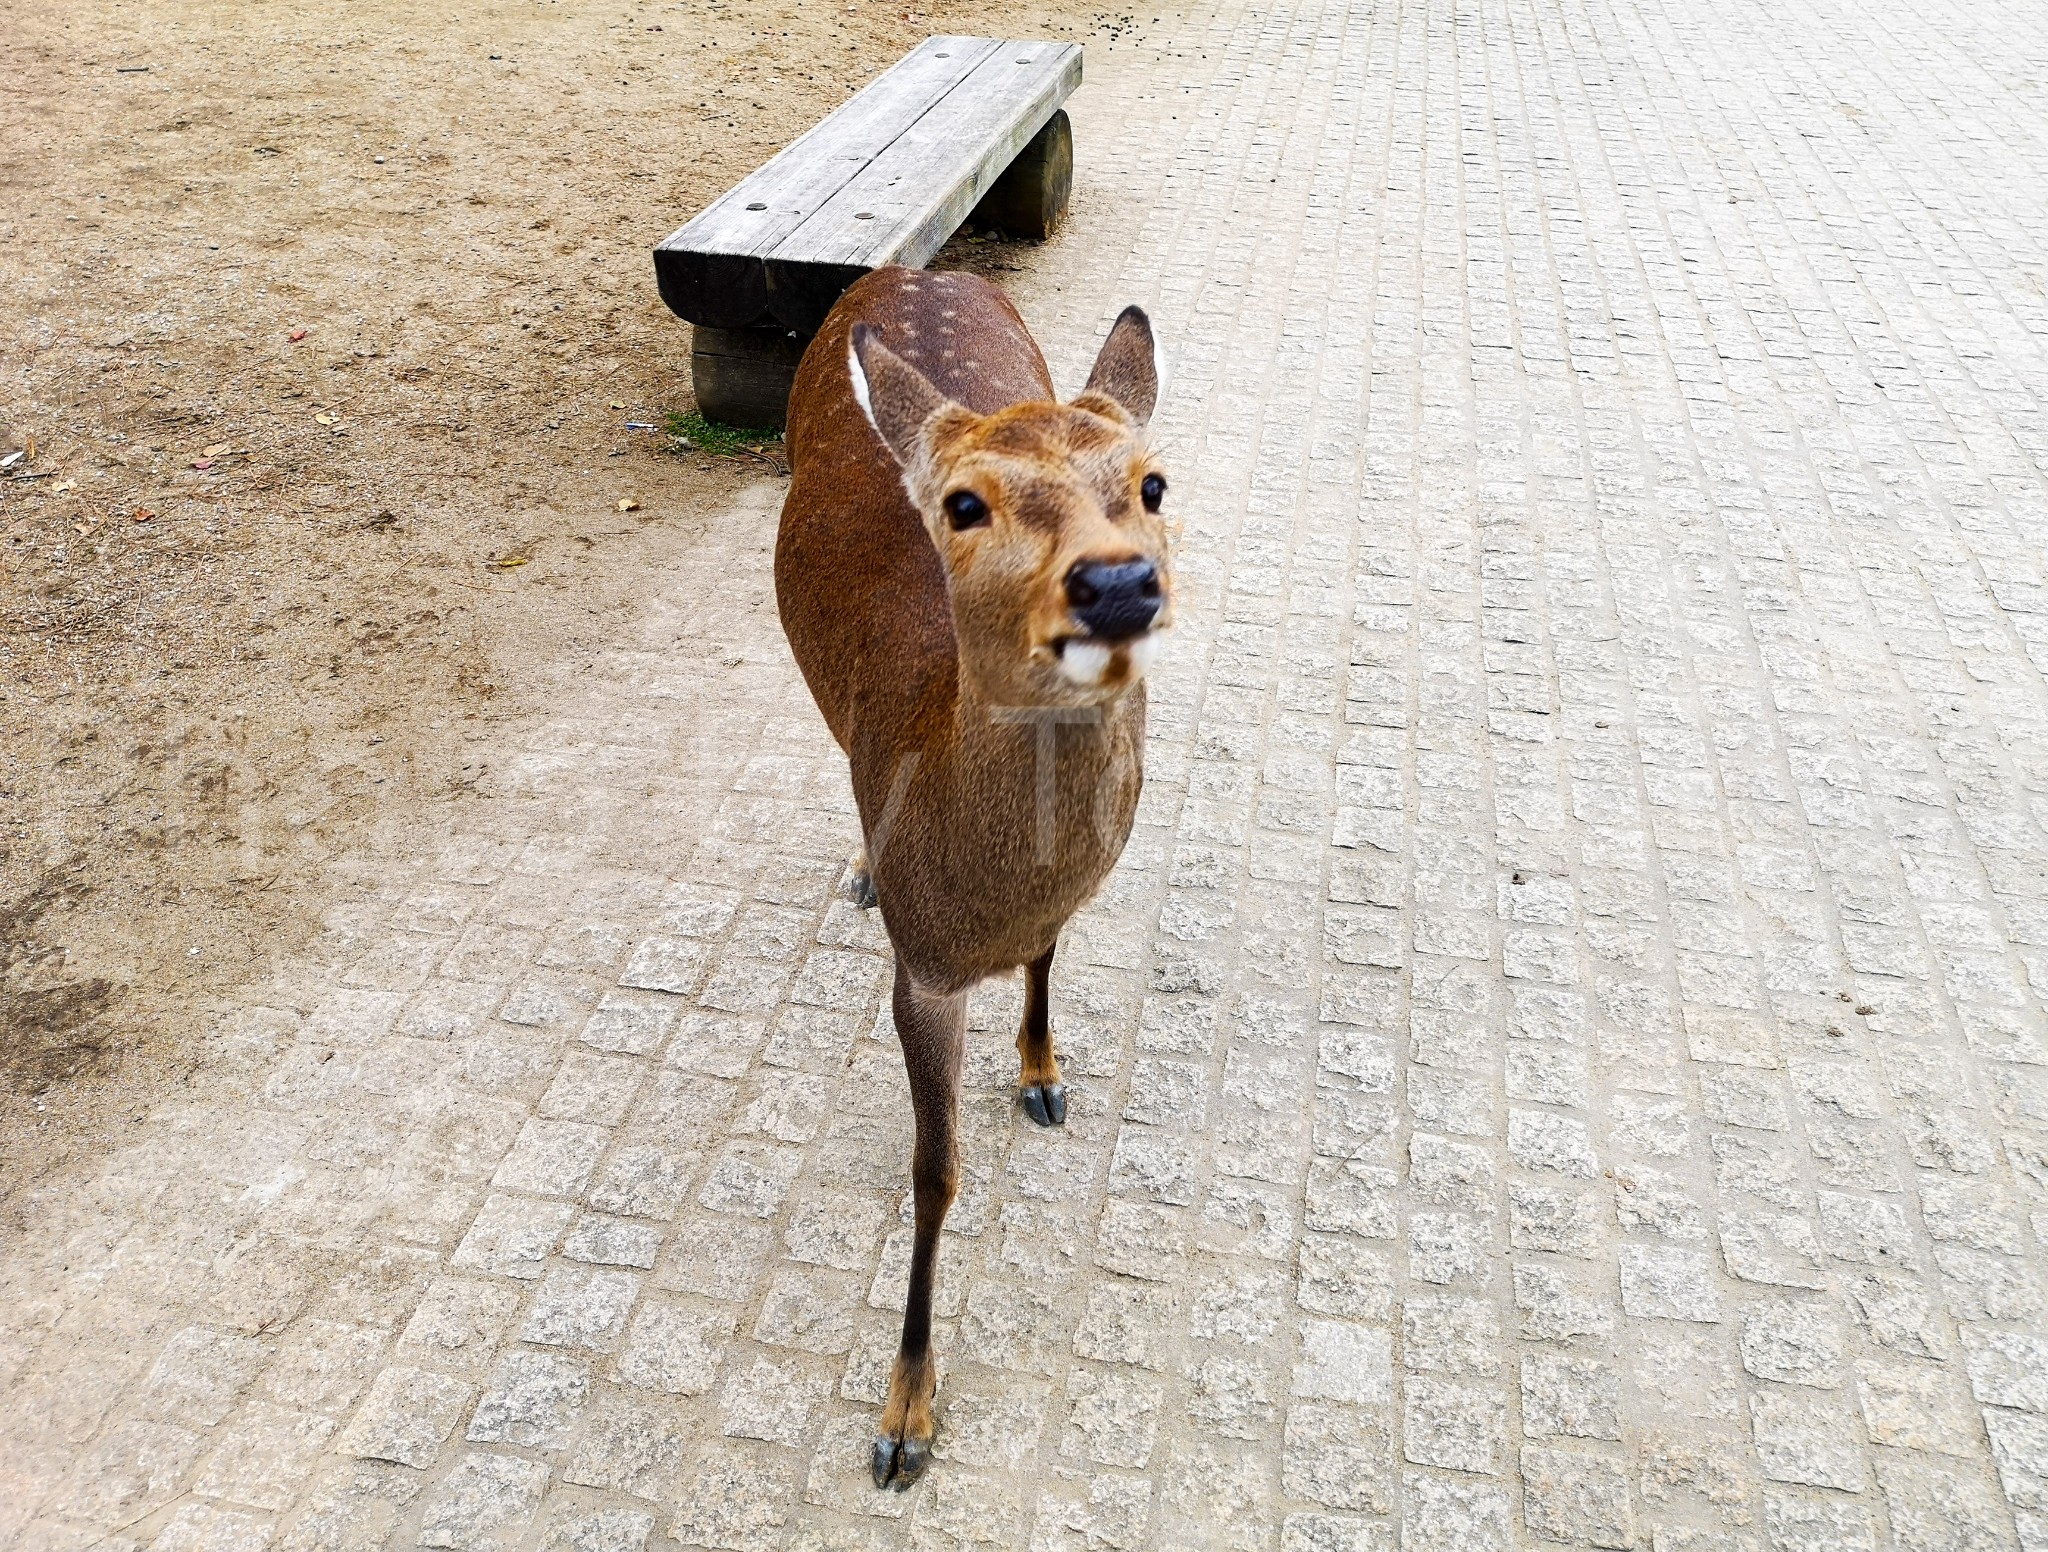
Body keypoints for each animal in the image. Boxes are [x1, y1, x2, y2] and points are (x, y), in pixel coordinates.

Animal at [770, 268, 1171, 1498]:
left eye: (1152, 482)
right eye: (961, 504)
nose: (1118, 582)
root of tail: (913, 270)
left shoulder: (1056, 910)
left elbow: (1049, 955)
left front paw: (1042, 1071)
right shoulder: (922, 967)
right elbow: (933, 1174)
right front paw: (904, 1416)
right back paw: (859, 858)